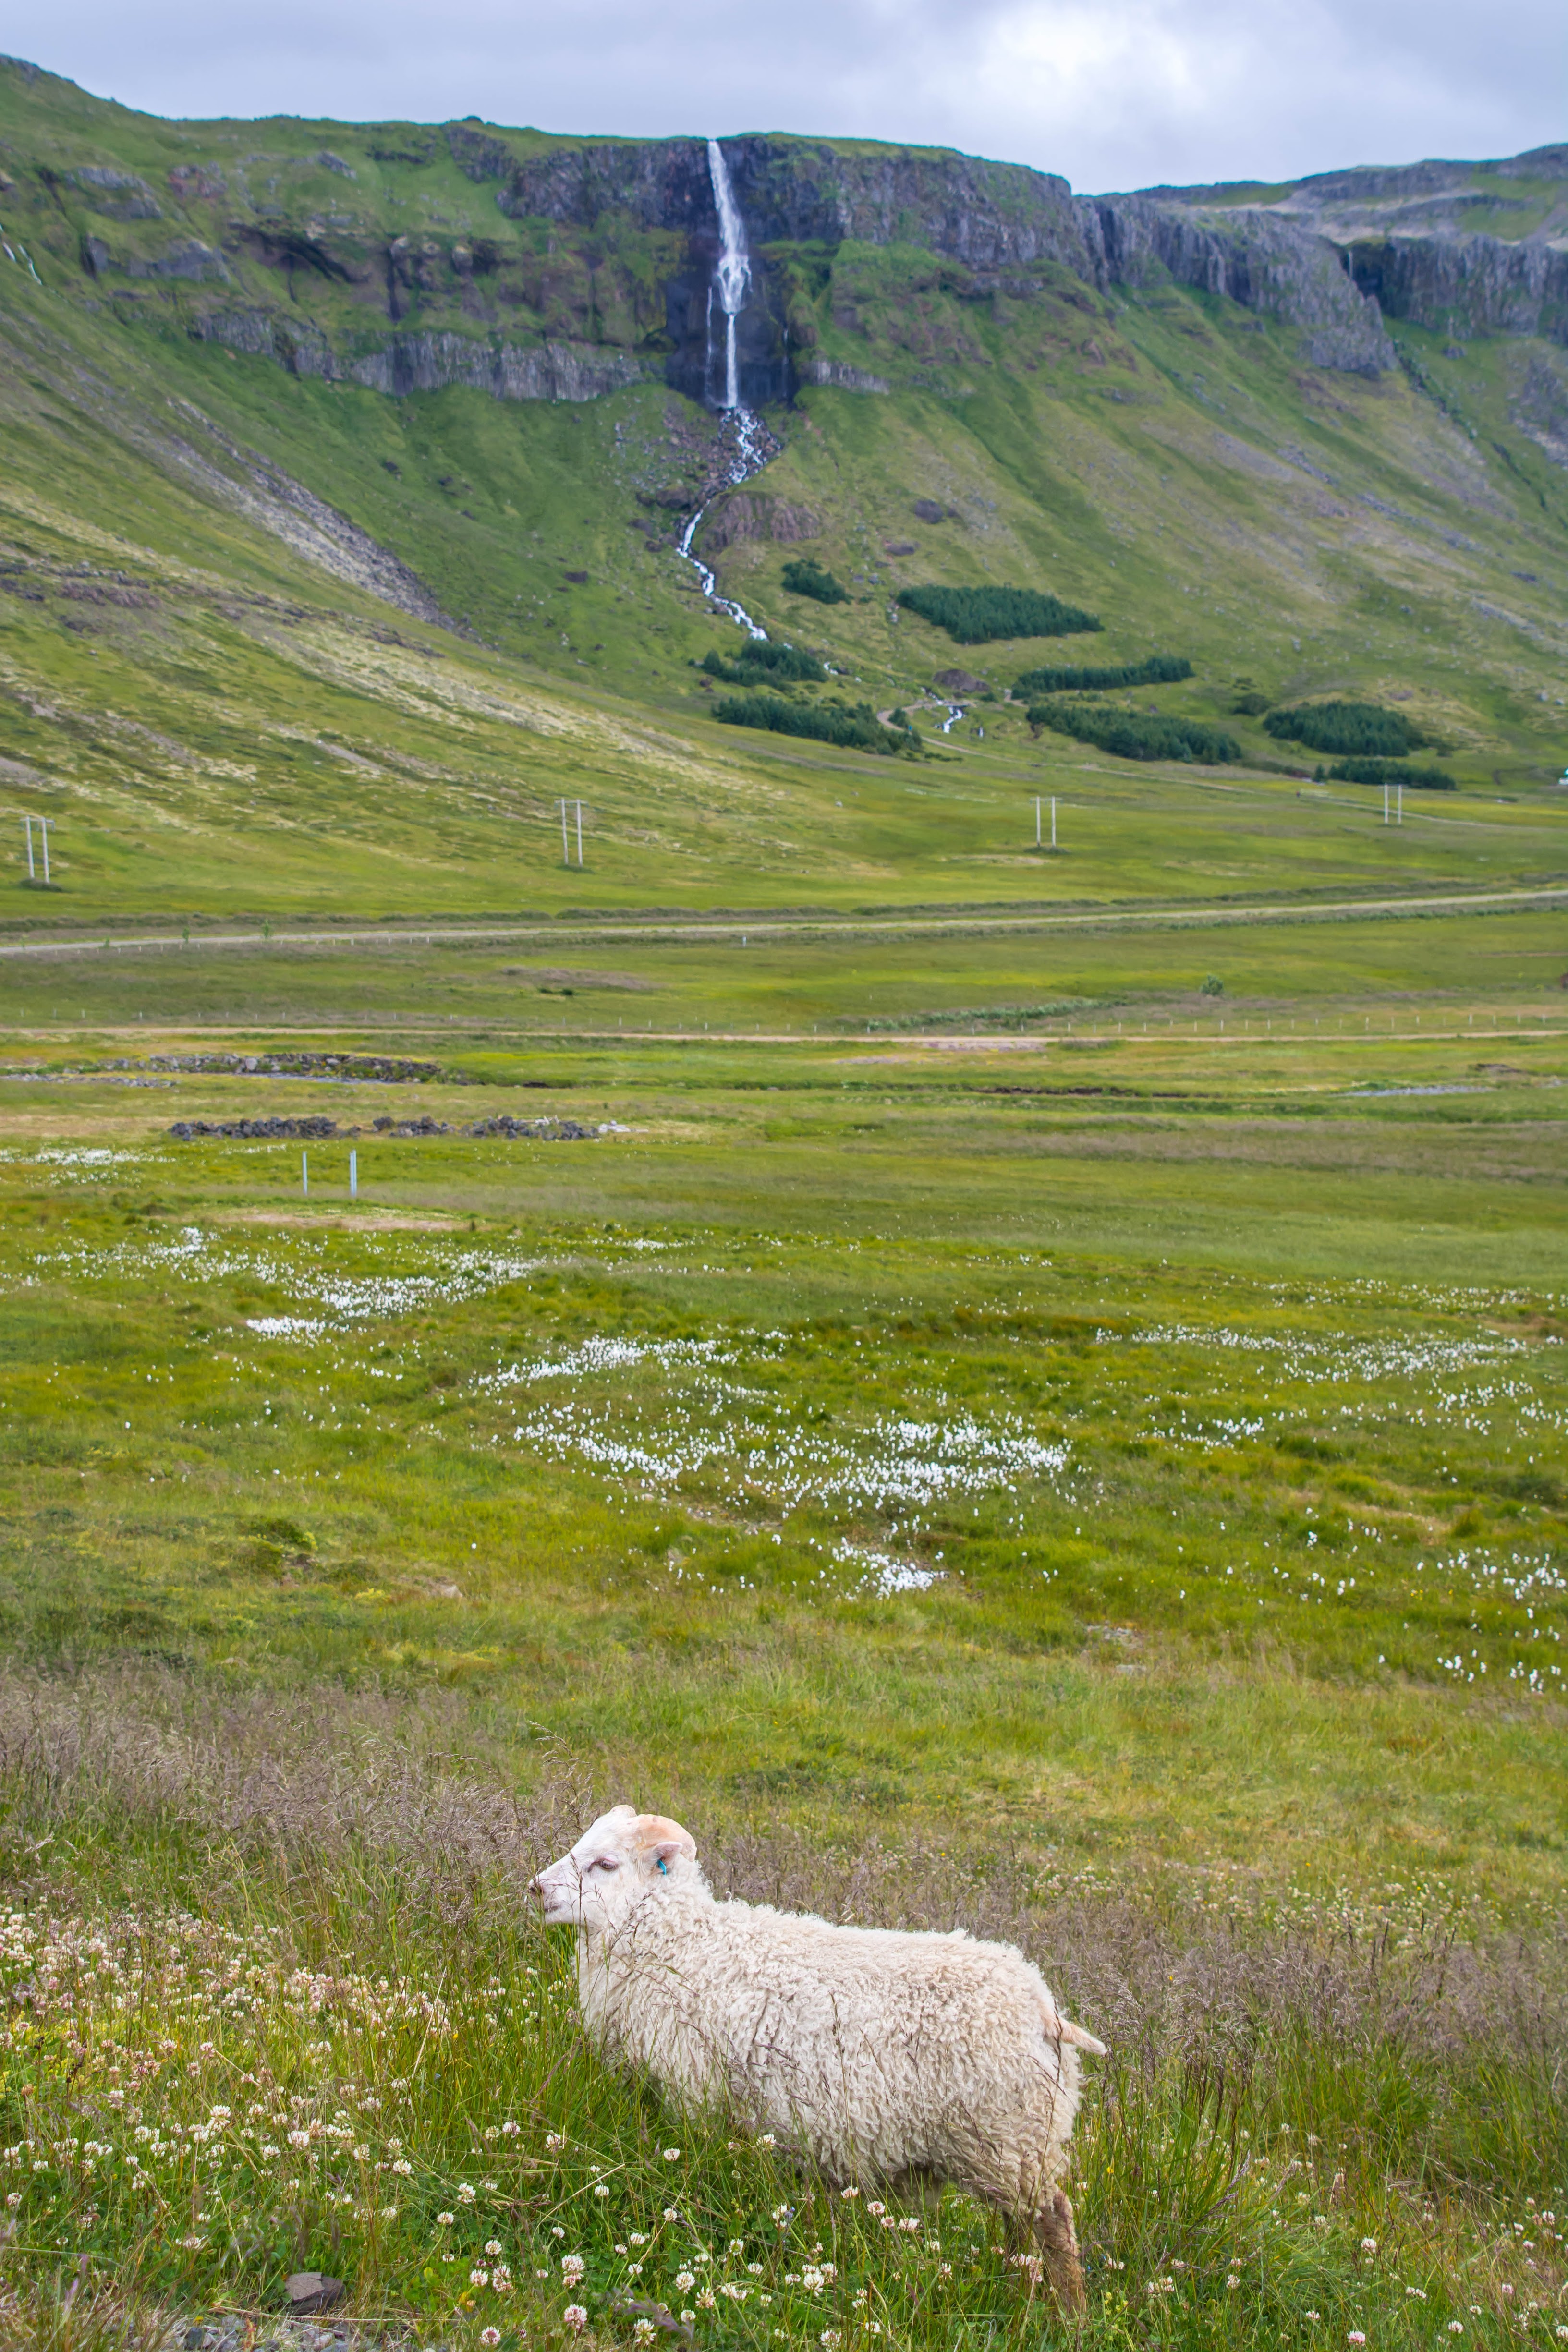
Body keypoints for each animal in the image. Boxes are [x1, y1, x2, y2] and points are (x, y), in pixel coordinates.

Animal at [531, 1805, 1105, 2309]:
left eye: (606, 1863)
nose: (535, 1889)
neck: (680, 1942)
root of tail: (1042, 2006)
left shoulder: (692, 2097)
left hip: (1008, 2139)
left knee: (1052, 2220)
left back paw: (1067, 2311)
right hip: (1009, 2145)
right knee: (1020, 2226)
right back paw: (1017, 2287)